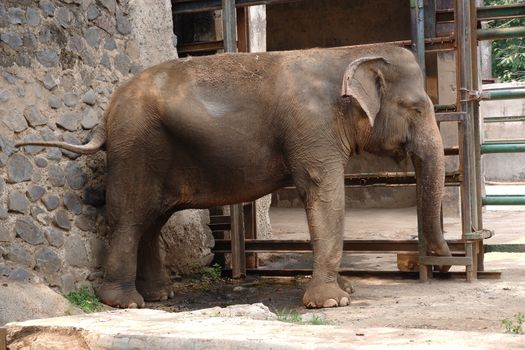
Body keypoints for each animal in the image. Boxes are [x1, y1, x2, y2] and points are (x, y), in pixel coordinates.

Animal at [16, 43, 450, 308]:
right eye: (415, 108)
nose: (442, 266)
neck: (351, 54)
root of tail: (106, 113)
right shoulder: (310, 126)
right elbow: (323, 192)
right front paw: (333, 301)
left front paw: (344, 291)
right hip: (136, 145)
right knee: (131, 216)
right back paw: (126, 302)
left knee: (152, 219)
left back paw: (160, 296)